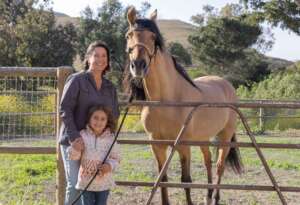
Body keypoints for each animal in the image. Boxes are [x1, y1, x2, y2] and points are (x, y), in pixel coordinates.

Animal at [123, 7, 243, 204]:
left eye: (153, 37)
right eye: (129, 35)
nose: (138, 65)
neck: (166, 101)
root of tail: (226, 84)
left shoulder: (183, 146)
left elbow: (185, 180)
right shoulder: (157, 145)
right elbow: (162, 179)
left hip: (225, 136)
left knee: (219, 165)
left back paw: (216, 198)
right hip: (203, 138)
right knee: (208, 161)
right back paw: (208, 195)